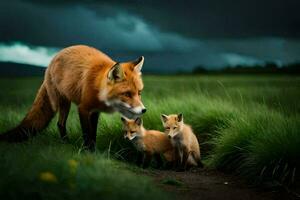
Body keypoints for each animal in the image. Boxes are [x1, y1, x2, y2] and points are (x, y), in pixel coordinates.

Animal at [0, 45, 146, 152]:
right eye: (127, 94)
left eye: (139, 92)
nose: (144, 110)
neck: (98, 87)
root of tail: (52, 61)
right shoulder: (83, 108)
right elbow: (87, 133)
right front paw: (88, 152)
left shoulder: (95, 111)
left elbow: (93, 134)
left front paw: (94, 151)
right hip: (63, 102)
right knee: (60, 124)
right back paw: (65, 143)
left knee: (59, 124)